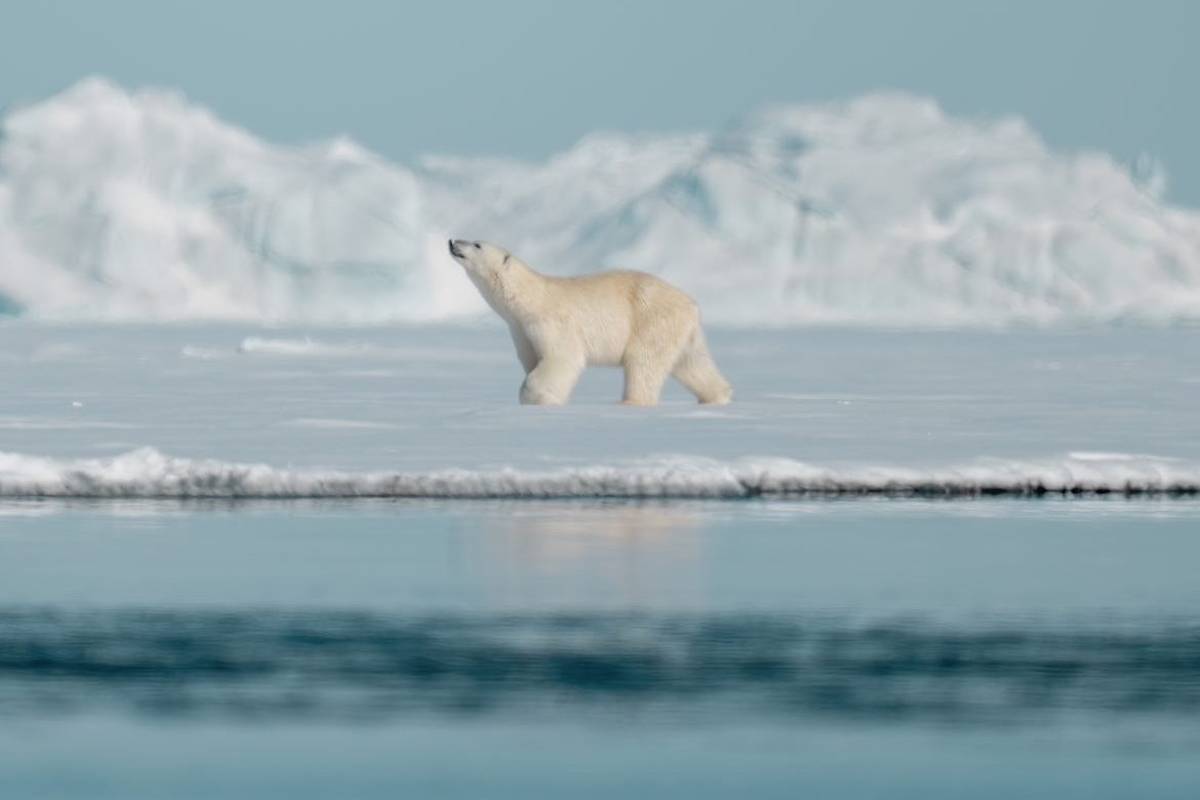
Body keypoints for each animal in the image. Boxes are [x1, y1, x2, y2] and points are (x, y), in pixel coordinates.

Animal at [448, 239, 733, 406]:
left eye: (477, 244)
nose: (453, 241)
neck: (528, 298)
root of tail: (691, 303)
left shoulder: (550, 321)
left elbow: (562, 358)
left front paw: (536, 396)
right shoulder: (520, 331)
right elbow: (532, 361)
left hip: (650, 318)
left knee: (643, 362)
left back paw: (630, 402)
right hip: (680, 329)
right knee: (691, 363)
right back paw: (718, 396)